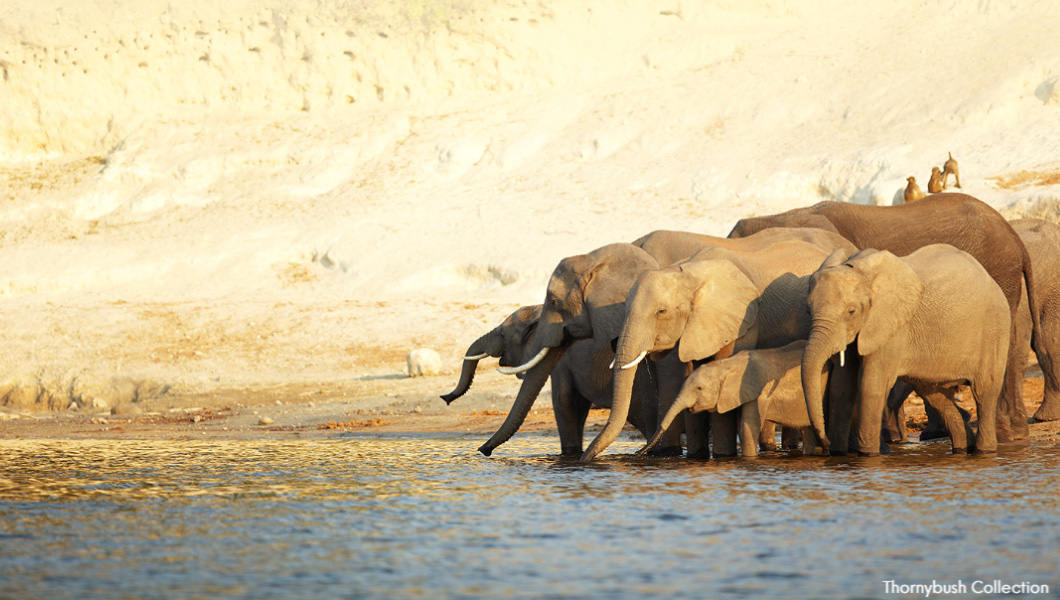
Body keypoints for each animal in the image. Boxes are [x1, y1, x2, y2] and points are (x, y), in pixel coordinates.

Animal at [801, 244, 1009, 455]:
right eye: (808, 311)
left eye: (851, 311)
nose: (824, 444)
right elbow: (841, 386)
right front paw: (838, 455)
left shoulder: (893, 327)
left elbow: (871, 385)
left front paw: (868, 455)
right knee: (932, 393)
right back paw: (964, 447)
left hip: (995, 329)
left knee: (984, 391)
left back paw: (984, 451)